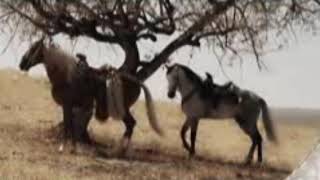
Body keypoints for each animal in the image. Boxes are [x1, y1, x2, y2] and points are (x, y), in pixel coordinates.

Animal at [19, 38, 162, 153]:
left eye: (33, 48)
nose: (22, 64)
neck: (66, 76)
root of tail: (135, 80)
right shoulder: (72, 107)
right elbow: (72, 127)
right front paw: (72, 148)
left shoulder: (66, 105)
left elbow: (67, 126)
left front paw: (62, 148)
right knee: (130, 126)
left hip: (123, 110)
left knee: (131, 124)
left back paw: (119, 150)